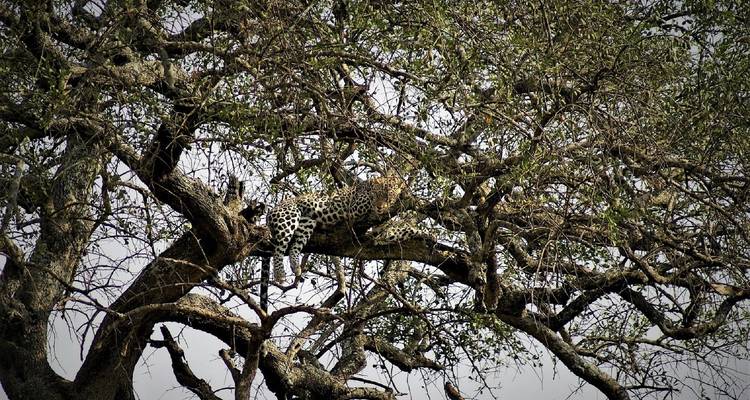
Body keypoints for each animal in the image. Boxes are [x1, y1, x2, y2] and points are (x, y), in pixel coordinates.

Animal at [267, 176, 404, 283]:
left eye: (388, 196)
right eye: (377, 195)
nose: (380, 207)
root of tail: (271, 211)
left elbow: (383, 228)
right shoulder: (356, 206)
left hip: (307, 224)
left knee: (293, 247)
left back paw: (296, 267)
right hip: (289, 216)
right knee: (278, 248)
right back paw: (279, 275)